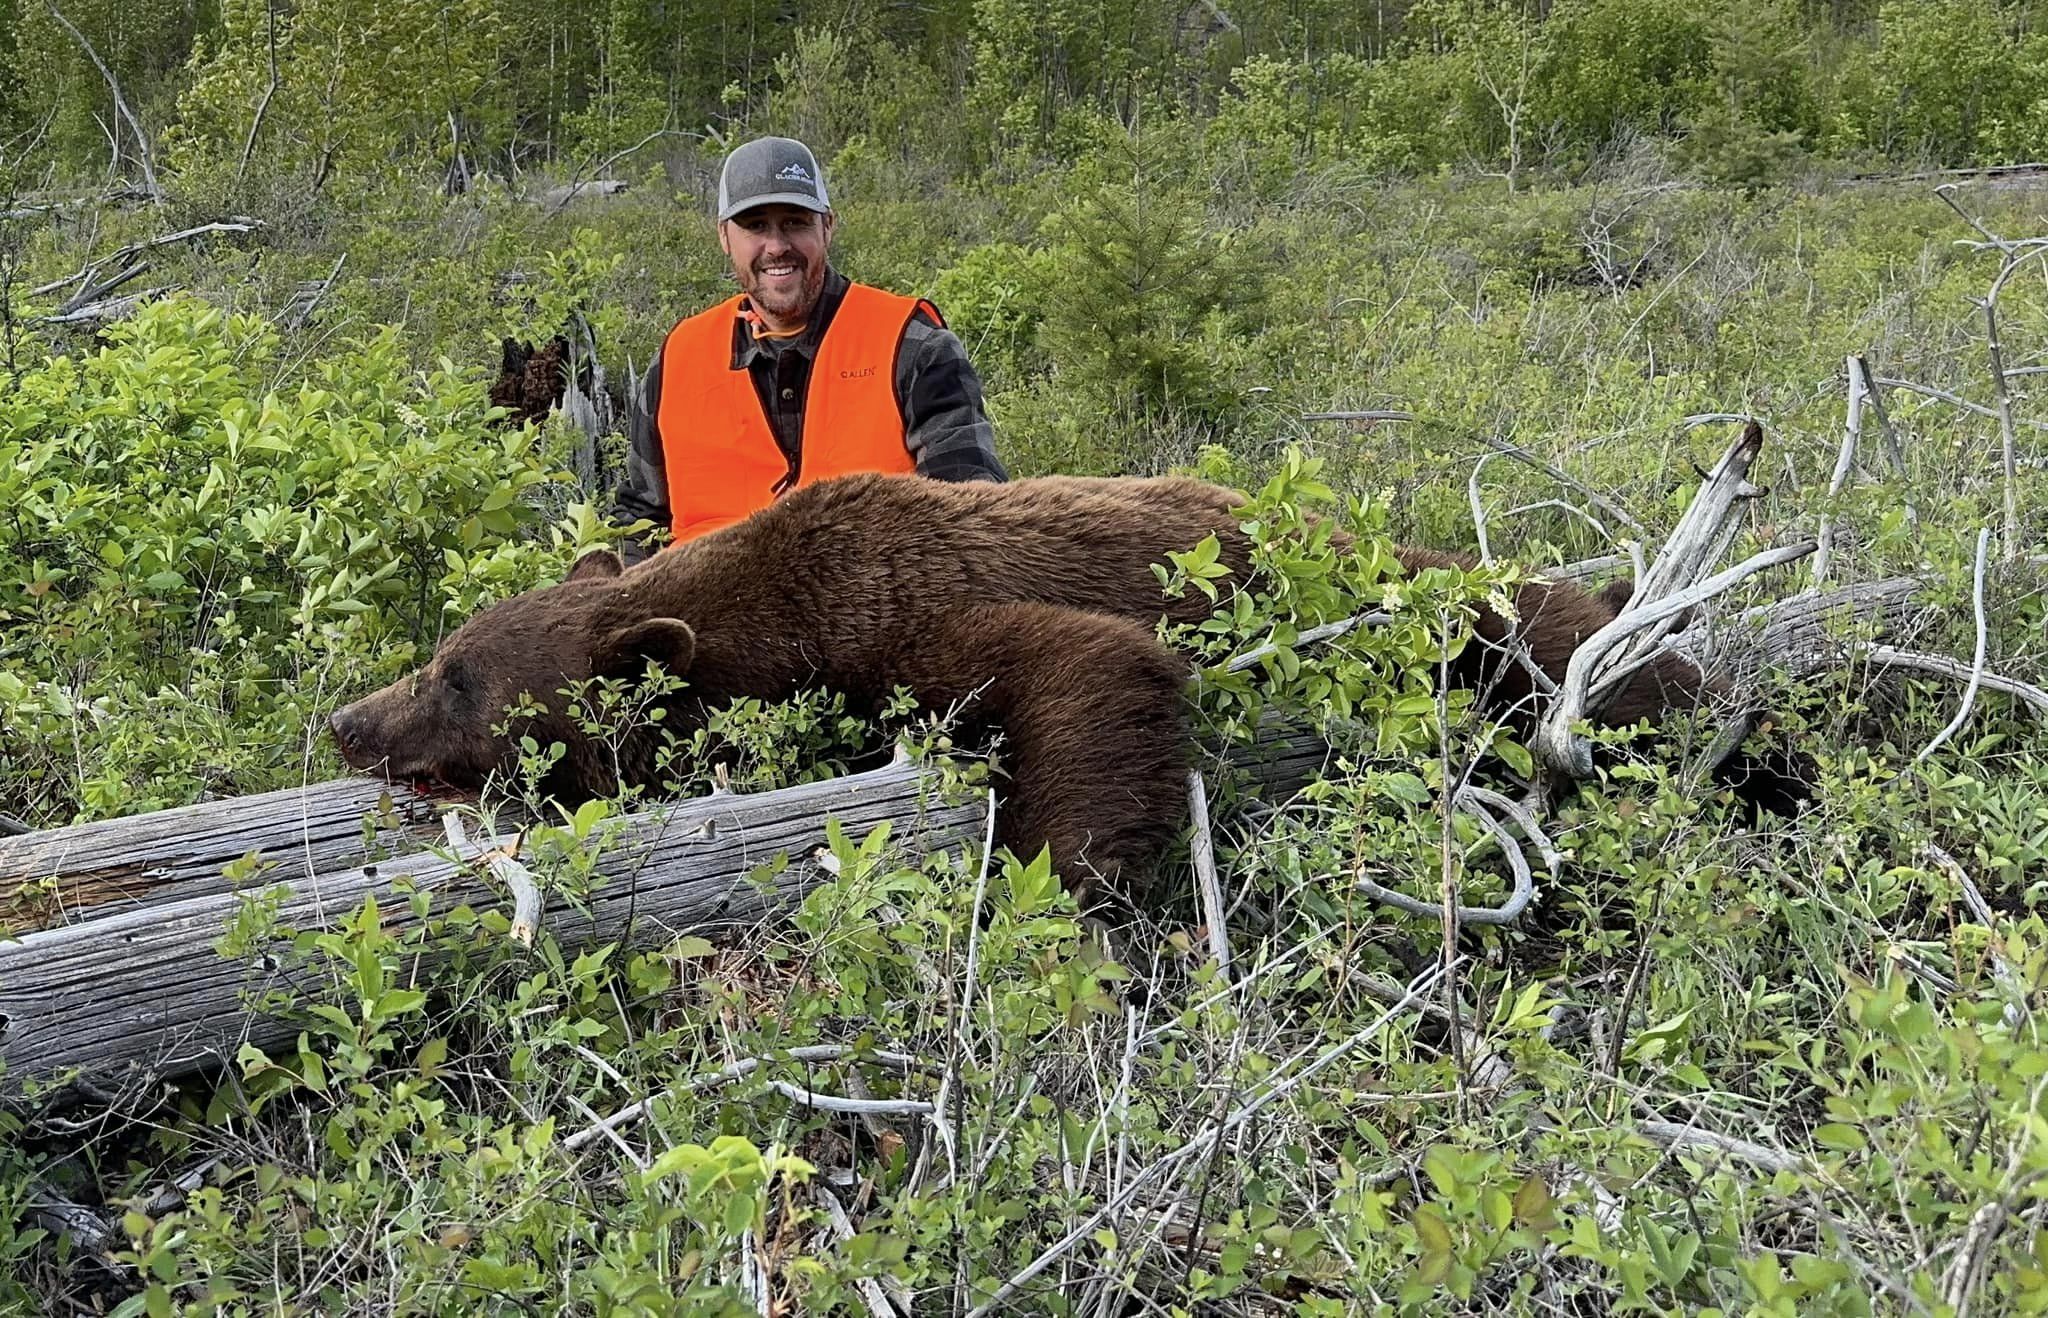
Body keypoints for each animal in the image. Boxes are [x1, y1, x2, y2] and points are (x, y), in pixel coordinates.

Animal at [329, 471, 1798, 894]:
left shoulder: (904, 604)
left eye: (454, 676)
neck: (767, 614)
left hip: (1487, 619)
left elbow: (1090, 667)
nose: (344, 719)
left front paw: (1070, 896)